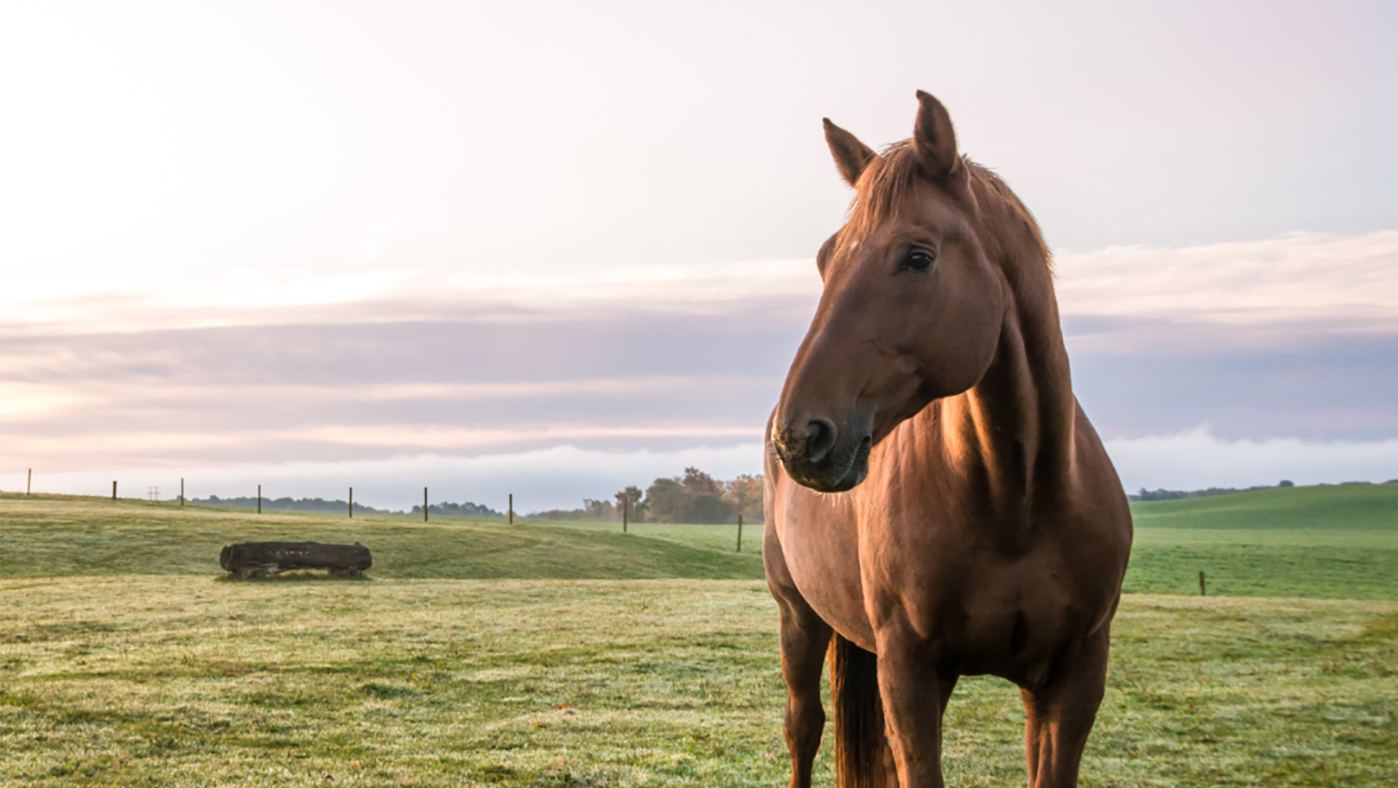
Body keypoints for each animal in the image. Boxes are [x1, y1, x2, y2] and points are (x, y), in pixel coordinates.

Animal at [763, 91, 1133, 788]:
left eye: (918, 257)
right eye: (826, 259)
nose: (798, 438)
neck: (1015, 502)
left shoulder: (1071, 683)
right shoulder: (910, 673)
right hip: (798, 614)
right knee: (804, 727)